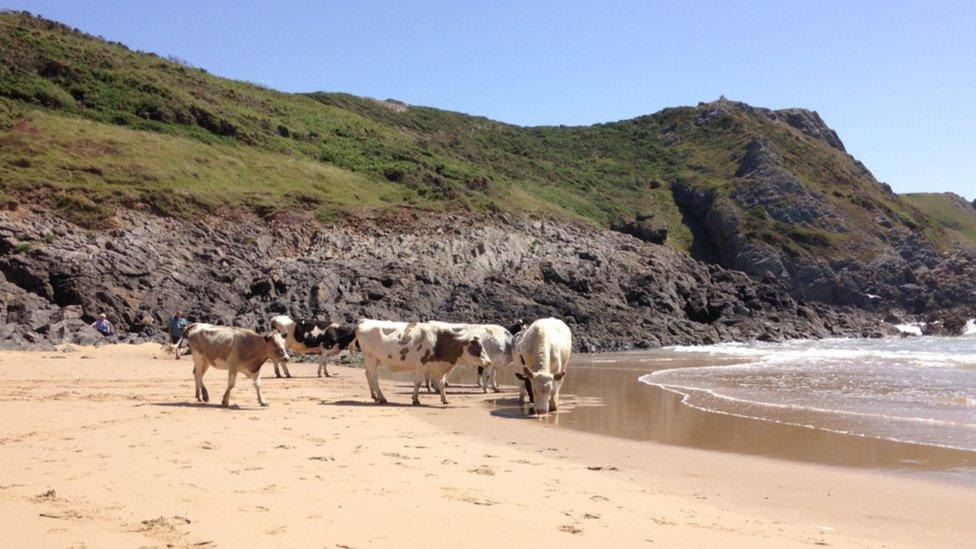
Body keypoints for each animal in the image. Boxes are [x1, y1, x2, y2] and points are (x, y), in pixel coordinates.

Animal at [354, 318, 492, 404]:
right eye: (479, 347)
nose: (489, 362)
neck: (439, 341)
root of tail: (364, 321)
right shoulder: (421, 365)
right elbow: (418, 383)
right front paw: (415, 399)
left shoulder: (438, 367)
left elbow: (441, 383)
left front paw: (445, 399)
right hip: (370, 357)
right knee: (374, 378)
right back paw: (381, 398)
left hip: (373, 359)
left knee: (368, 374)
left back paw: (375, 396)